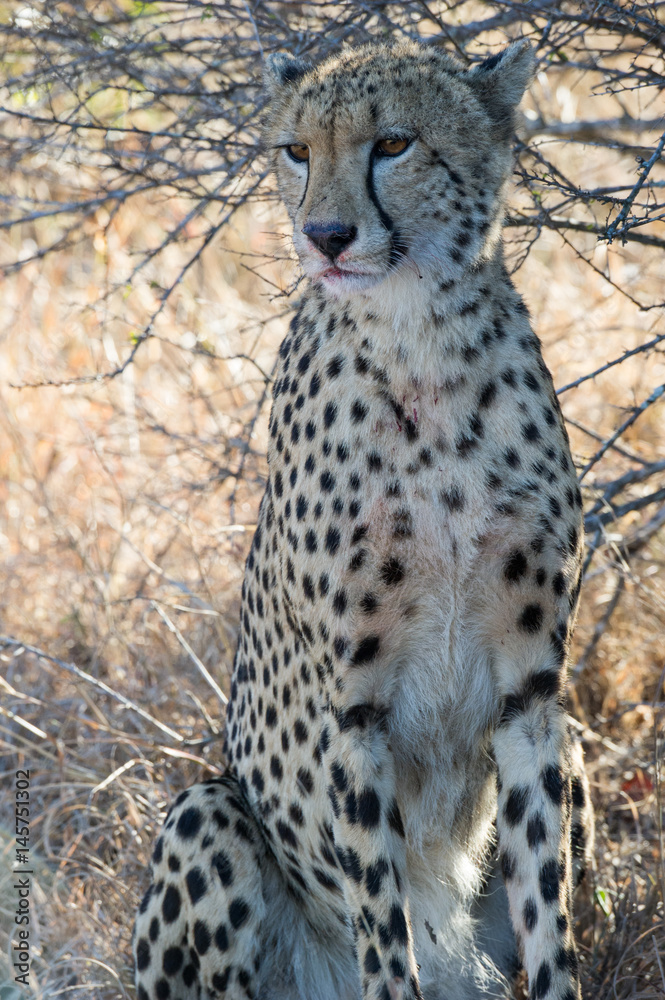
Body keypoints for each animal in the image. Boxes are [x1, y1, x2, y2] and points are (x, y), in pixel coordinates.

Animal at [133, 38, 595, 1000]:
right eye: (295, 151)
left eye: (392, 144)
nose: (325, 237)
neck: (422, 343)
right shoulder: (352, 710)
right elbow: (384, 926)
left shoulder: (533, 692)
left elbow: (547, 908)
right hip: (206, 810)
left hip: (573, 746)